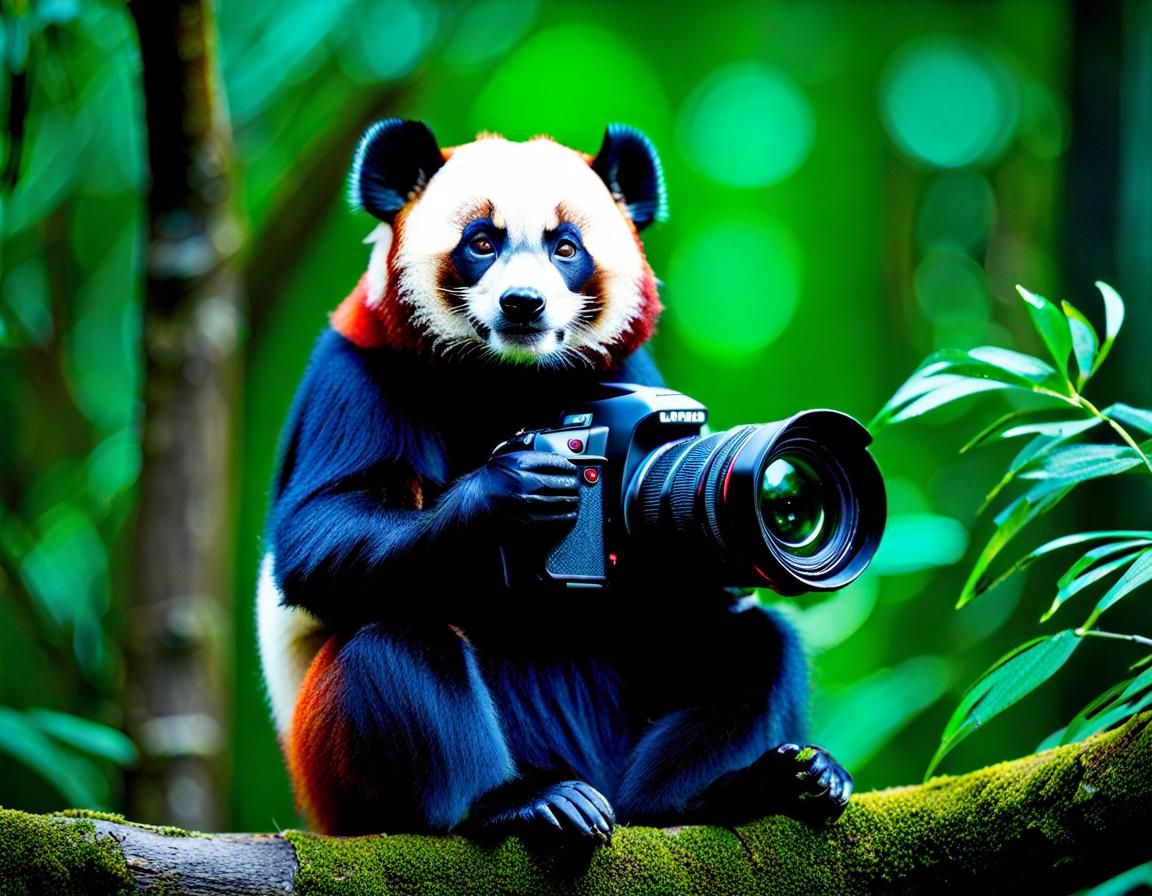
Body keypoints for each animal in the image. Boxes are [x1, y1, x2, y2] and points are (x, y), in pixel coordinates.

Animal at [256, 119, 852, 845]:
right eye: (481, 242)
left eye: (565, 247)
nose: (524, 304)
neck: (513, 385)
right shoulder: (357, 374)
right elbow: (319, 532)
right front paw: (508, 492)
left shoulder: (628, 371)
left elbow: (686, 603)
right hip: (335, 781)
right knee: (394, 640)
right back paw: (515, 801)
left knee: (757, 648)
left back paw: (733, 791)